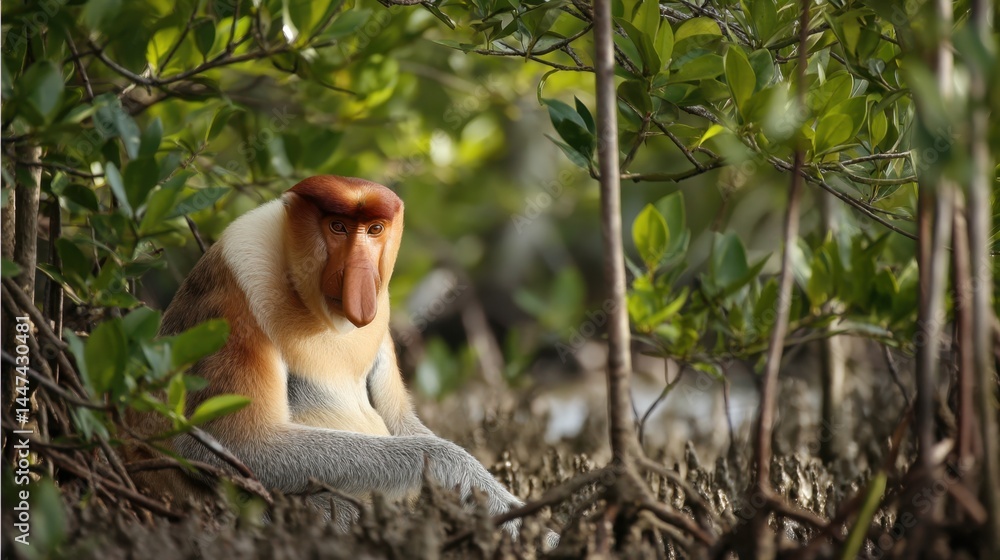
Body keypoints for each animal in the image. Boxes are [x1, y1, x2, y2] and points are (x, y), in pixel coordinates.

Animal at [127, 176, 523, 535]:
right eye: (338, 227)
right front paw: (464, 477)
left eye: (374, 229)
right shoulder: (235, 296)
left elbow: (399, 419)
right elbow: (232, 443)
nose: (360, 279)